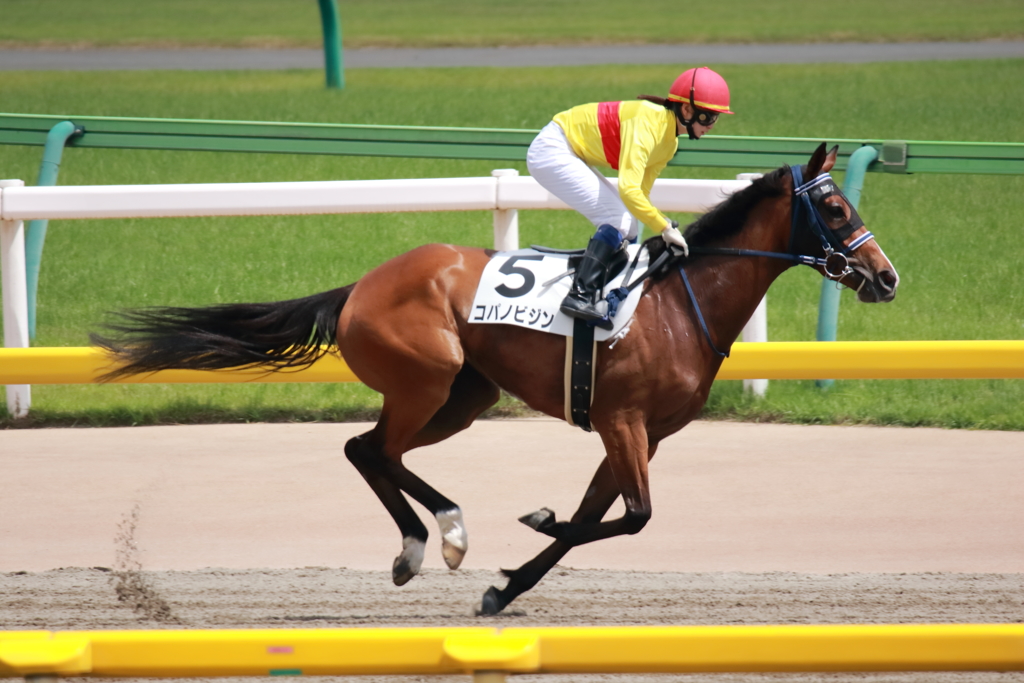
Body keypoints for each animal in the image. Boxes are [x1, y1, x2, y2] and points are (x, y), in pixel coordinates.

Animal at [94, 143, 897, 614]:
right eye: (834, 205)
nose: (886, 276)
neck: (677, 305)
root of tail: (360, 285)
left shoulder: (639, 434)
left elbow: (595, 519)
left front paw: (506, 585)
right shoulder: (623, 422)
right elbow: (629, 517)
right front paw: (532, 526)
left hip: (464, 394)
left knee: (373, 450)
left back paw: (426, 542)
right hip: (428, 378)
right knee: (371, 449)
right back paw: (439, 535)